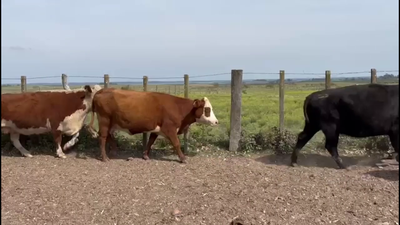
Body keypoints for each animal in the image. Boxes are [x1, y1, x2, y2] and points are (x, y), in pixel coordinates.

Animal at [87, 88, 219, 163]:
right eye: (207, 109)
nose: (216, 122)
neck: (178, 107)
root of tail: (102, 91)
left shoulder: (157, 130)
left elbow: (150, 142)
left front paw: (145, 155)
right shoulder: (170, 128)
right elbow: (176, 143)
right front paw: (183, 158)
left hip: (111, 123)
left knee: (108, 135)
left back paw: (114, 150)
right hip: (104, 120)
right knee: (103, 137)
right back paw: (105, 158)